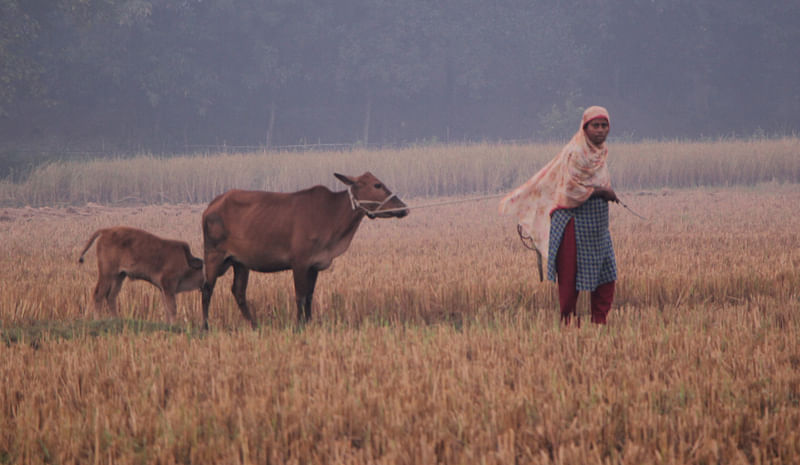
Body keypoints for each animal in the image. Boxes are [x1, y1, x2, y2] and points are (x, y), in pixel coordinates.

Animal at [203, 172, 410, 328]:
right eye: (377, 185)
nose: (404, 208)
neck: (333, 220)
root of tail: (210, 205)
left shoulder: (314, 264)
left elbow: (310, 297)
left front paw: (308, 323)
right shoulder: (299, 261)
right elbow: (300, 297)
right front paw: (298, 326)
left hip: (240, 262)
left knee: (238, 291)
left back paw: (255, 325)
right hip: (213, 254)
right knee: (207, 288)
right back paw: (205, 327)